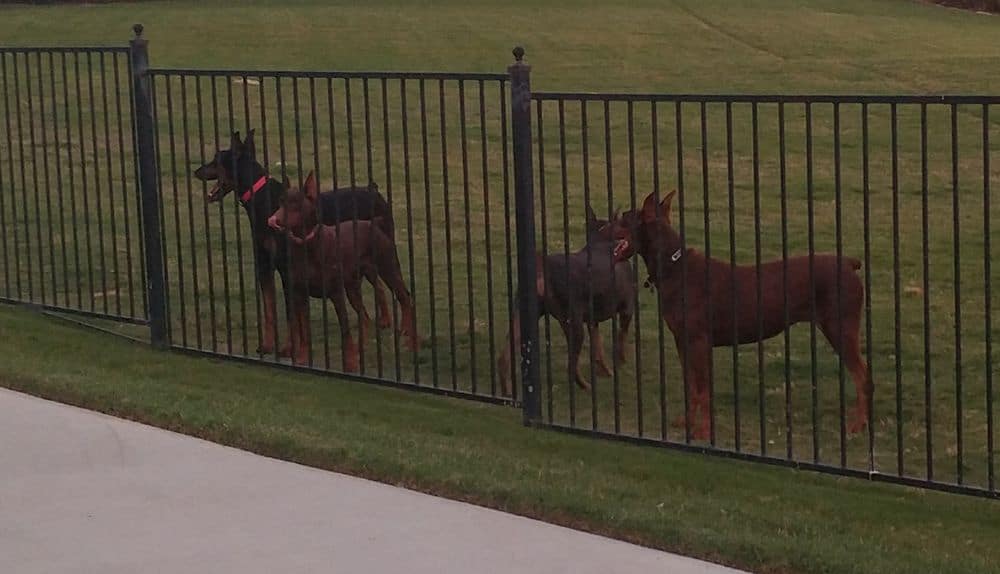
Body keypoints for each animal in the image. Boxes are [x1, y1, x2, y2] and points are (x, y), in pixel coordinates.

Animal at [193, 130, 396, 356]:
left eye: (217, 159)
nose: (196, 171)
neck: (263, 198)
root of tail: (374, 191)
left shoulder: (287, 269)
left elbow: (292, 315)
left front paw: (289, 347)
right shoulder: (265, 266)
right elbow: (270, 310)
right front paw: (268, 345)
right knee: (378, 285)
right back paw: (383, 321)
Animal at [268, 171, 416, 368]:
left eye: (295, 203)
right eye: (280, 201)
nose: (273, 220)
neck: (307, 247)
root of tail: (373, 223)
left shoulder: (336, 293)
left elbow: (345, 329)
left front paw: (351, 362)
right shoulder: (300, 294)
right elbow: (304, 330)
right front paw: (303, 358)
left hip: (388, 267)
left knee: (404, 297)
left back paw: (407, 335)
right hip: (353, 286)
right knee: (364, 316)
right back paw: (363, 345)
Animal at [498, 207, 636, 400]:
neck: (600, 239)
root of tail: (542, 268)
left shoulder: (592, 321)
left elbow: (598, 348)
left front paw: (605, 370)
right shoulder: (627, 308)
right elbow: (621, 338)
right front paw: (621, 360)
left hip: (525, 316)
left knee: (503, 358)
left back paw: (507, 393)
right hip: (574, 324)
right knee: (570, 366)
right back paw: (585, 386)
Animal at [604, 194, 872, 440]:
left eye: (623, 219)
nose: (600, 229)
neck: (674, 268)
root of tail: (849, 264)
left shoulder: (699, 342)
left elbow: (704, 390)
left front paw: (703, 431)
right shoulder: (682, 341)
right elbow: (691, 386)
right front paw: (686, 421)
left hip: (839, 328)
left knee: (862, 376)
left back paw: (858, 424)